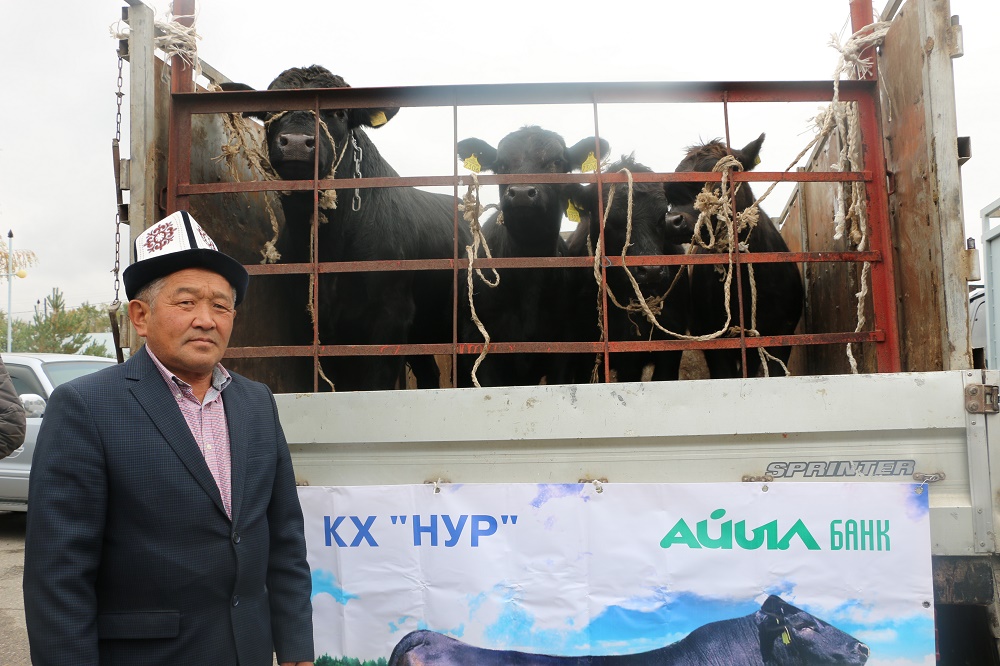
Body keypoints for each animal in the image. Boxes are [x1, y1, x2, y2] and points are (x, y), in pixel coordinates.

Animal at [220, 66, 468, 391]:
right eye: (272, 110)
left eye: (339, 112)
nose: (297, 142)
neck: (331, 244)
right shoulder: (307, 322)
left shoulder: (390, 318)